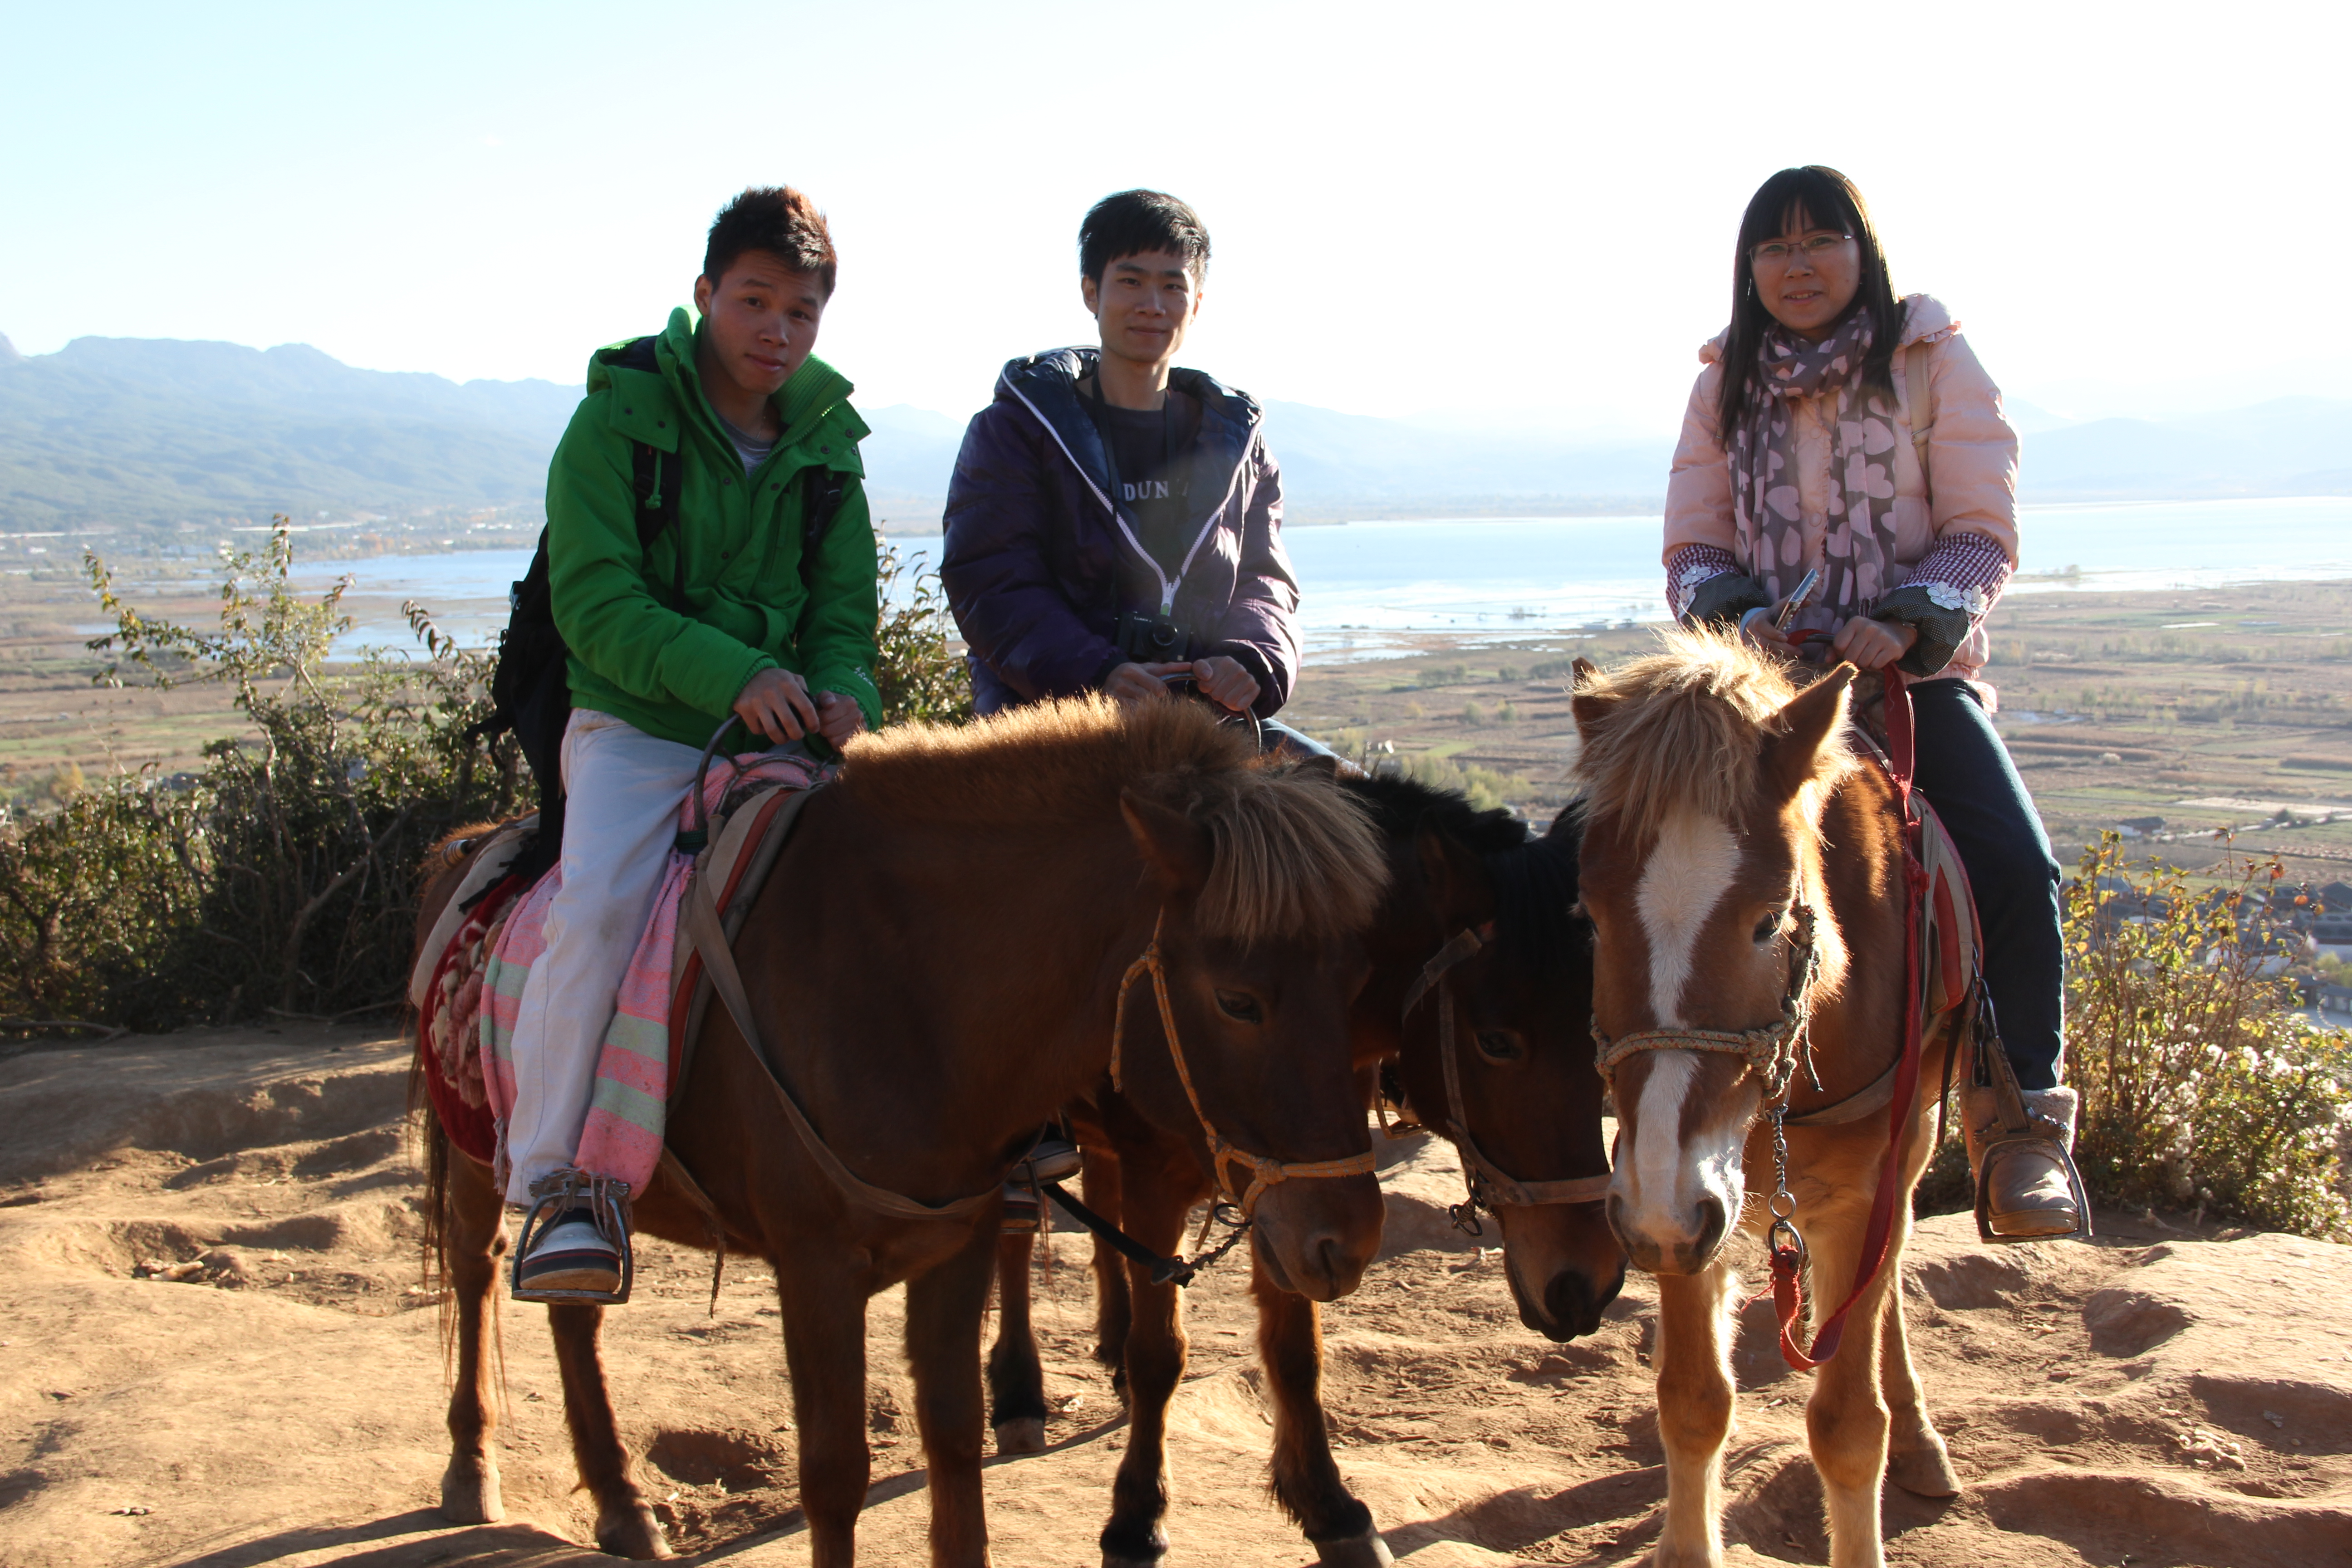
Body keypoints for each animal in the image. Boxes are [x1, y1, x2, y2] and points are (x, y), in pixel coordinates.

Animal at [414, 701, 1383, 1568]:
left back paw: (620, 1504)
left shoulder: (955, 1248)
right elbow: (835, 1474)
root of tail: (470, 846)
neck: (898, 982)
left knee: (574, 1313)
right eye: (1237, 1000)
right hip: (476, 1156)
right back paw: (469, 1467)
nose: (1345, 1239)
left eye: (1355, 987)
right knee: (477, 1268)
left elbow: (953, 1442)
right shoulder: (817, 1270)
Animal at [983, 775, 1627, 1568]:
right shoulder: (1169, 1181)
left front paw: (1328, 1507)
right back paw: (1020, 1394)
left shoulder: (1297, 1196)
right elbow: (1162, 1352)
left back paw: (1107, 1350)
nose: (1587, 1285)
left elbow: (1295, 1352)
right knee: (1014, 1237)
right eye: (1497, 1041)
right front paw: (1136, 1518)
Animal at [1580, 634, 1966, 1568]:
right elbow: (1692, 1402)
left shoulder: (1848, 1205)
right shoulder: (1677, 1210)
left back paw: (1918, 1437)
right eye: (1591, 917)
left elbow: (1847, 1426)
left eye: (1767, 920)